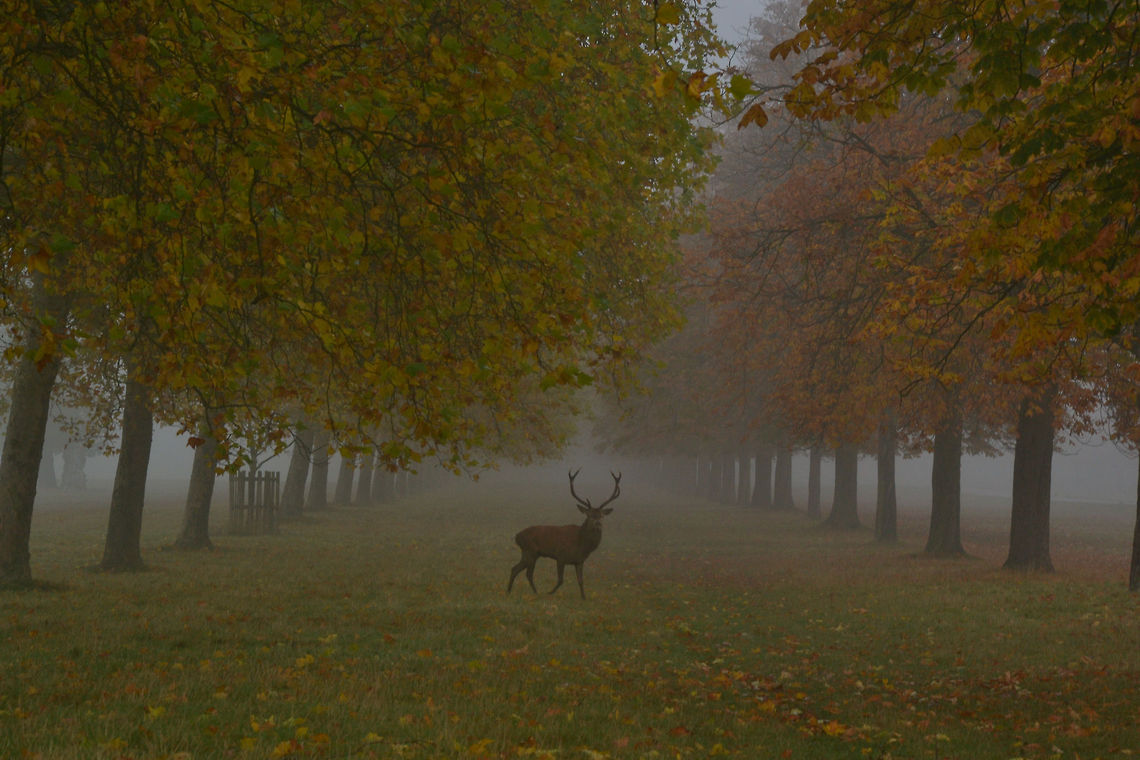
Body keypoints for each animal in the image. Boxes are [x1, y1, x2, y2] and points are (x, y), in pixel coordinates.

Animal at [507, 469, 621, 599]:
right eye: (589, 515)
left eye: (602, 516)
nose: (598, 524)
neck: (581, 544)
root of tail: (517, 537)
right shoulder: (560, 556)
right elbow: (561, 580)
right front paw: (549, 593)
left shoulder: (579, 561)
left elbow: (580, 580)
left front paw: (584, 598)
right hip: (530, 551)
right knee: (524, 572)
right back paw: (533, 592)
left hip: (531, 554)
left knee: (517, 569)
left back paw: (510, 591)